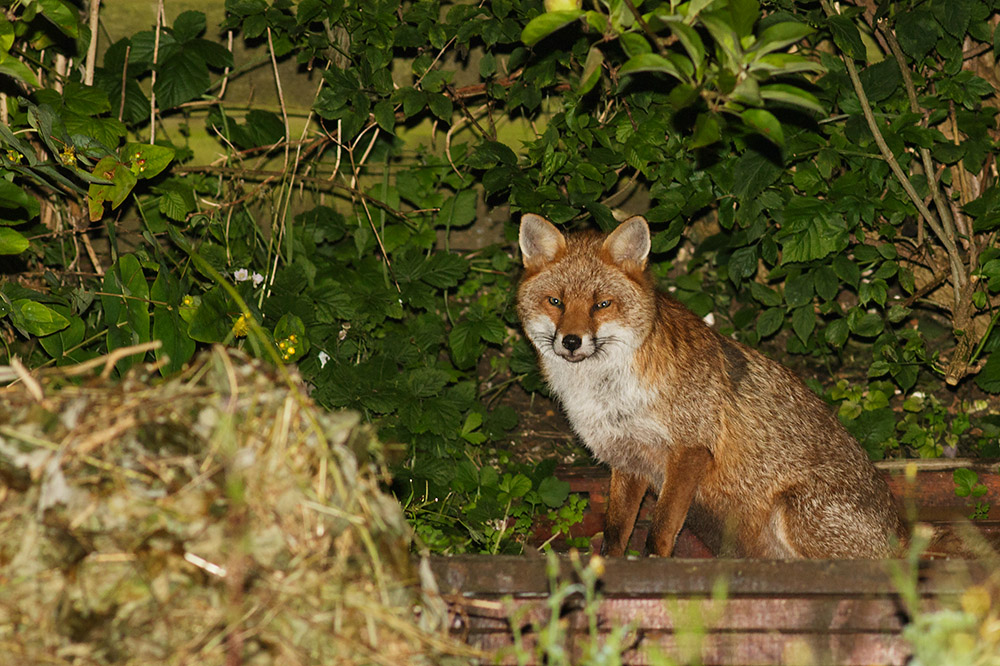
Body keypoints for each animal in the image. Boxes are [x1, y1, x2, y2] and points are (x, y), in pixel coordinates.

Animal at [516, 213, 907, 559]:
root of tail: (901, 535)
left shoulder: (690, 449)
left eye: (601, 305)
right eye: (556, 302)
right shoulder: (628, 460)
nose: (571, 341)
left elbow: (660, 531)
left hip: (792, 512)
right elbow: (616, 531)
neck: (608, 395)